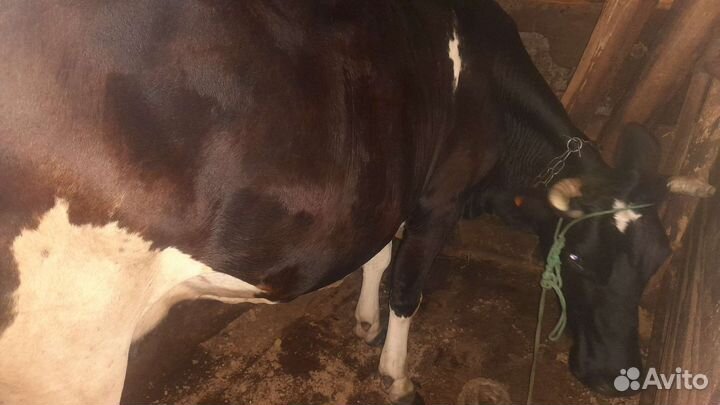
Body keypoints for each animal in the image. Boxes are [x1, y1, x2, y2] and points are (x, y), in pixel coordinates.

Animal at [0, 1, 714, 404]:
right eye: (580, 261)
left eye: (657, 261)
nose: (619, 374)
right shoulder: (438, 195)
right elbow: (409, 286)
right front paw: (395, 373)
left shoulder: (391, 183)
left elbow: (375, 256)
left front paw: (364, 321)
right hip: (71, 346)